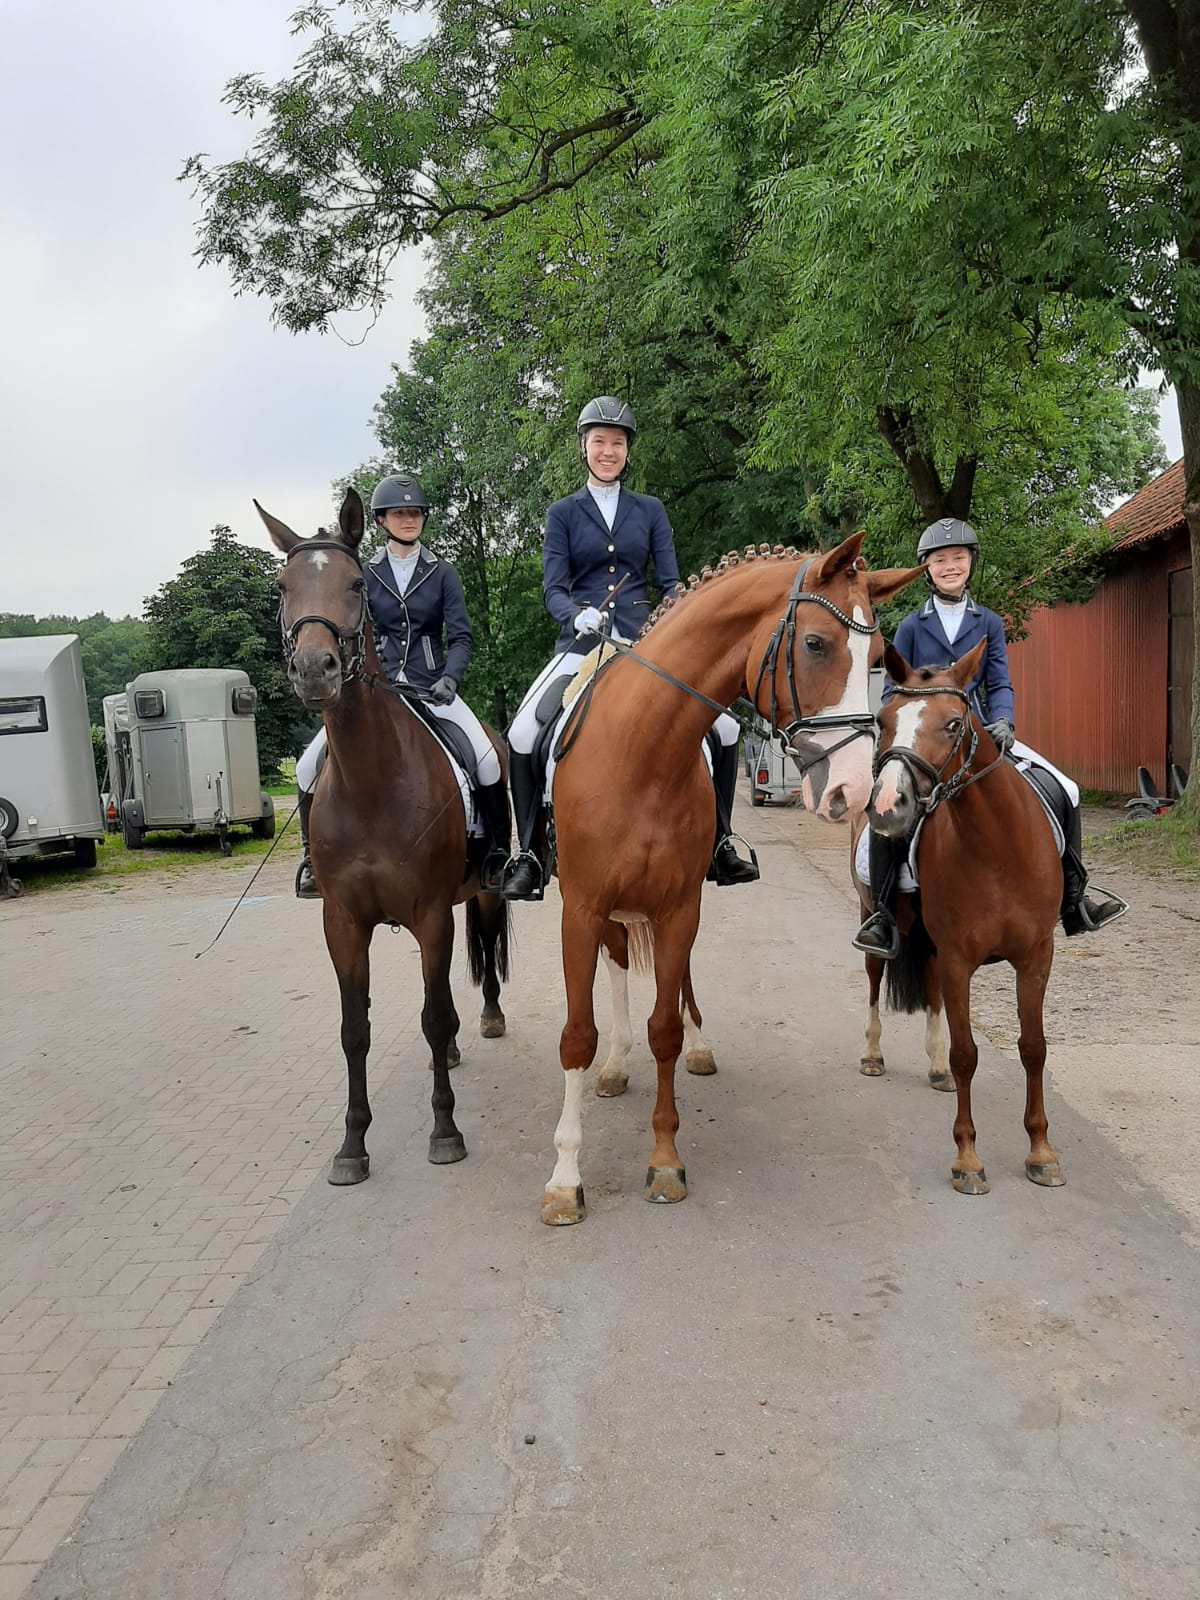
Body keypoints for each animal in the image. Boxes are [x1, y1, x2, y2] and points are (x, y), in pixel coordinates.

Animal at [257, 489, 513, 1183]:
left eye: (354, 585)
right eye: (282, 586)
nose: (314, 669)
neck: (372, 780)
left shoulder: (430, 913)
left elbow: (432, 1016)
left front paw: (445, 1131)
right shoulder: (343, 921)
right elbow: (355, 1030)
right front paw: (352, 1144)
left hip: (480, 893)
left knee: (479, 956)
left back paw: (488, 1018)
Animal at [540, 533, 924, 1224]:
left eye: (879, 657)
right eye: (816, 644)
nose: (855, 790)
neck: (642, 751)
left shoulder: (678, 907)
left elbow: (663, 1028)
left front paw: (665, 1160)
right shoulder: (579, 910)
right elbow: (576, 1036)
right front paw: (564, 1177)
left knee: (678, 981)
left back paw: (696, 1046)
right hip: (606, 914)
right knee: (616, 968)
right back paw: (614, 1065)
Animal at [863, 640, 1065, 1195]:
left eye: (954, 723)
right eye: (883, 719)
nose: (887, 806)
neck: (998, 847)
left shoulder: (1036, 956)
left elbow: (1033, 1048)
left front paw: (1041, 1152)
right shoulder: (958, 958)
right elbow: (967, 1053)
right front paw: (968, 1158)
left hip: (933, 946)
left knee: (930, 994)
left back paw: (934, 1069)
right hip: (877, 921)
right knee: (874, 982)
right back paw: (873, 1055)